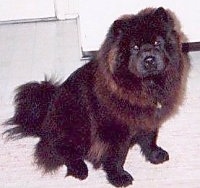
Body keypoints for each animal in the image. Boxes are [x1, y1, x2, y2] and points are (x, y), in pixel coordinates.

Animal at [3, 6, 190, 187]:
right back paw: (79, 169)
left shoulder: (148, 118)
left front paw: (155, 155)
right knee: (60, 151)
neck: (144, 86)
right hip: (73, 126)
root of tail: (45, 119)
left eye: (158, 43)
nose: (149, 59)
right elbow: (116, 157)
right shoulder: (113, 131)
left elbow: (150, 139)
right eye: (135, 48)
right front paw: (119, 177)